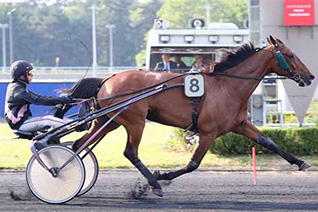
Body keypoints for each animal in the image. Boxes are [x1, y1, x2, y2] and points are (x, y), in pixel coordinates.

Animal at [60, 36, 314, 197]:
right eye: (291, 55)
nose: (310, 76)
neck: (226, 85)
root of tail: (107, 80)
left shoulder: (240, 124)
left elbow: (269, 142)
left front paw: (301, 162)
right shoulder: (208, 132)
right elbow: (193, 164)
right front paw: (161, 176)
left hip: (108, 121)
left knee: (78, 145)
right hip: (135, 121)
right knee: (130, 152)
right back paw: (154, 184)